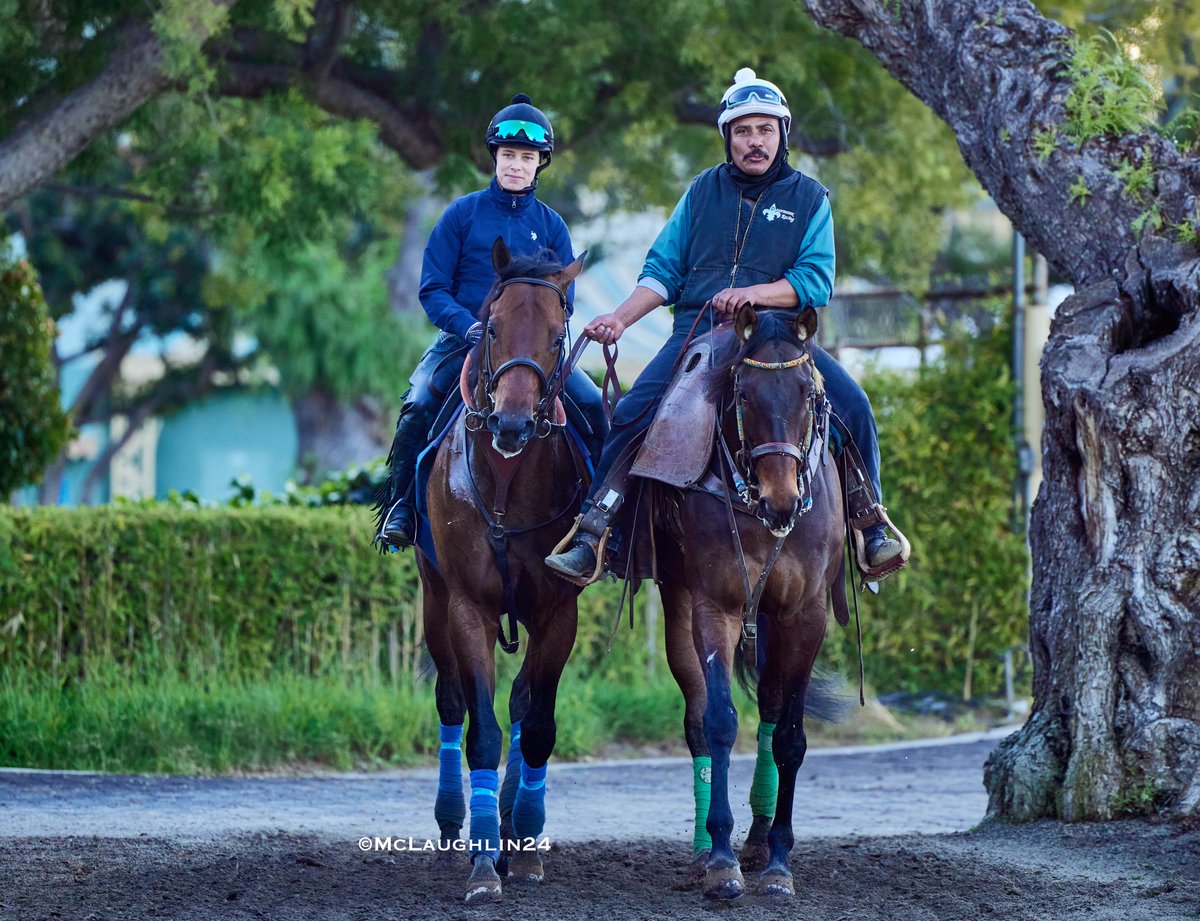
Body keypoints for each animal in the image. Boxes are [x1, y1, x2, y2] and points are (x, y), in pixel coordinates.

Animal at [420, 239, 592, 906]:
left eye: (556, 334)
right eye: (491, 327)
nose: (512, 423)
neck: (507, 486)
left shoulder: (558, 612)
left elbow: (536, 722)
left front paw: (524, 848)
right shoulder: (467, 606)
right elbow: (482, 731)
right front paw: (481, 865)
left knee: (520, 704)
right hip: (432, 596)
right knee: (450, 701)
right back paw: (453, 824)